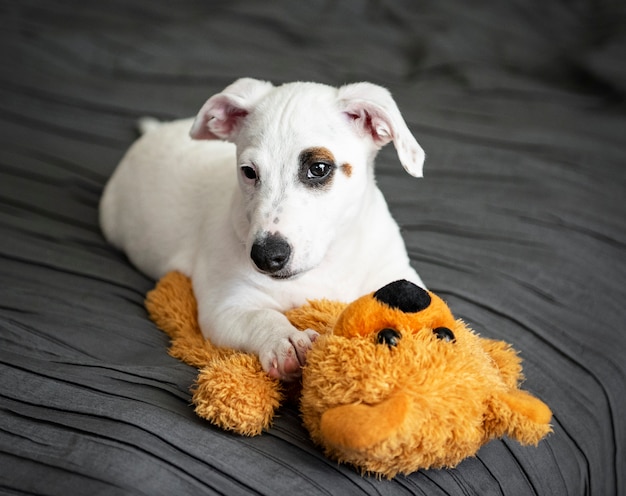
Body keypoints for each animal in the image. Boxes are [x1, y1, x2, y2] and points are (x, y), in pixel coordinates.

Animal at [98, 76, 424, 380]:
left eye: (319, 168)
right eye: (248, 172)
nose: (266, 256)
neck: (328, 263)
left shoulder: (396, 274)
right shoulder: (226, 304)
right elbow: (261, 316)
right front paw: (286, 340)